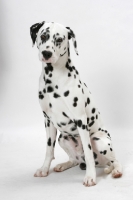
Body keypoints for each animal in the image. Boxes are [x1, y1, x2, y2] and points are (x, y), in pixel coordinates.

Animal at [29, 21, 122, 187]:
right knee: (74, 159)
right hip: (63, 138)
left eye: (59, 39)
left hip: (99, 140)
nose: (47, 53)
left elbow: (88, 152)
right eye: (44, 36)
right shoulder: (48, 120)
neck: (53, 78)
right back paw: (64, 164)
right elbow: (49, 149)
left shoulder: (80, 120)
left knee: (114, 160)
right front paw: (44, 169)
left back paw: (116, 170)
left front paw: (90, 176)